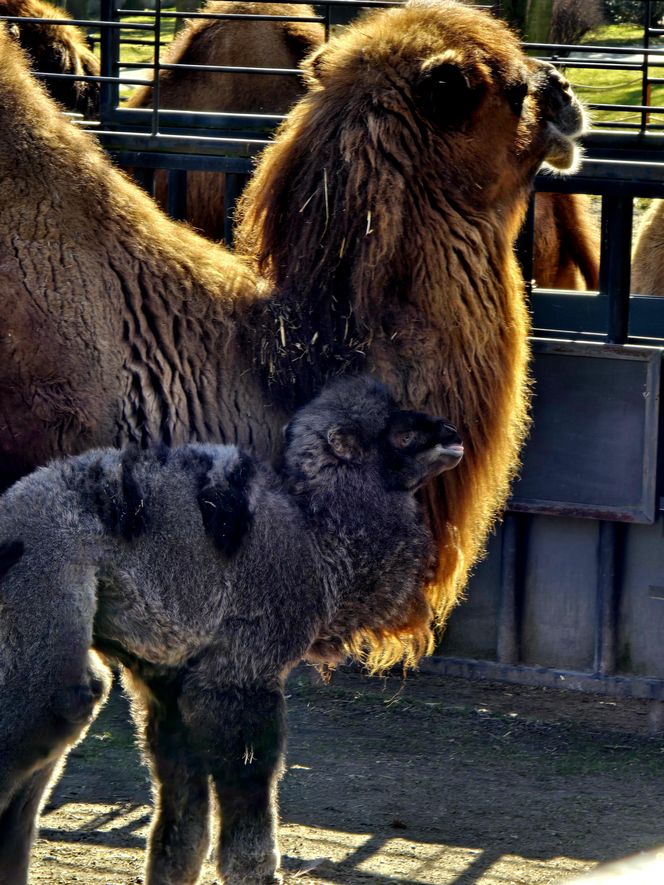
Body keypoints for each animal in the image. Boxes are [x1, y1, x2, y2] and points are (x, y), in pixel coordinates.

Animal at [0, 372, 464, 884]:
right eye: (401, 435)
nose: (452, 434)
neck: (316, 541)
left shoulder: (169, 680)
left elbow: (181, 827)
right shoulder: (242, 673)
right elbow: (249, 782)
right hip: (44, 592)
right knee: (52, 708)